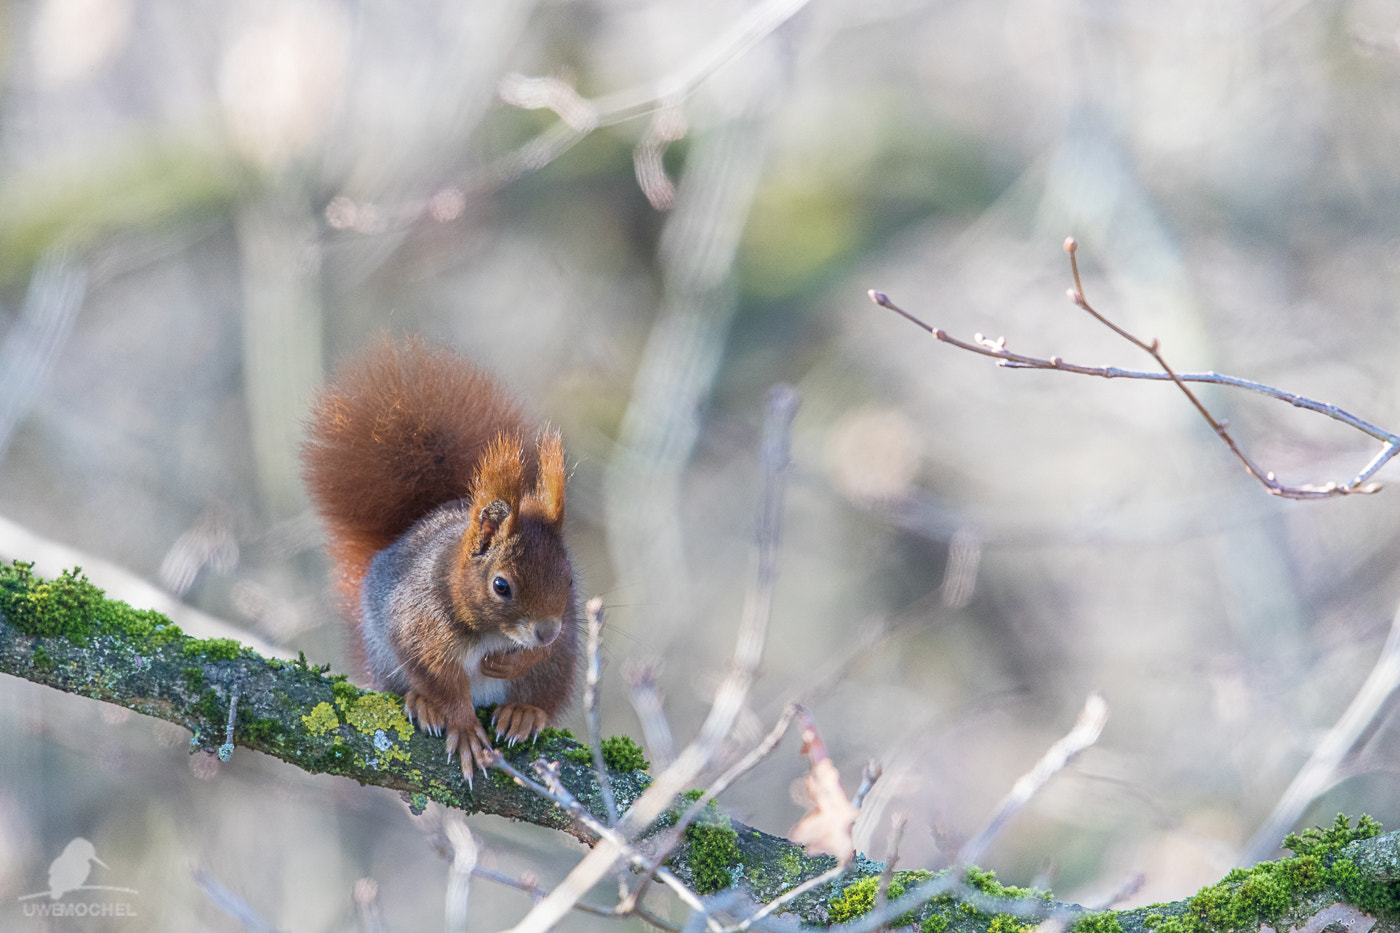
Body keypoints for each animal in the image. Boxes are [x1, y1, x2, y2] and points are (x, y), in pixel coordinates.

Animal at [298, 334, 576, 778]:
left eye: (569, 580)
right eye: (501, 585)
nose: (546, 631)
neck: (492, 633)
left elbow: (540, 655)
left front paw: (517, 661)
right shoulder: (420, 630)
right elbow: (444, 684)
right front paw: (462, 728)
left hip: (560, 669)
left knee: (542, 693)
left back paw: (523, 712)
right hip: (383, 656)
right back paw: (422, 703)